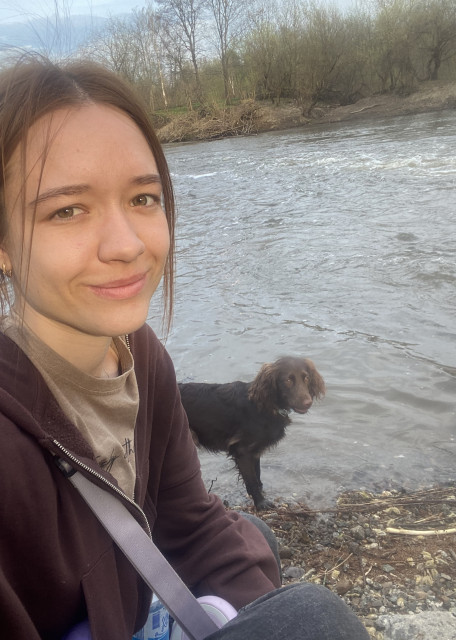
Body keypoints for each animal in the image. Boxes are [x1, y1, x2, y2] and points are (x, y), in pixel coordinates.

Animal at [178, 357, 325, 510]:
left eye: (306, 378)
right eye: (288, 380)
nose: (308, 402)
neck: (265, 406)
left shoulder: (255, 450)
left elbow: (257, 475)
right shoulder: (242, 451)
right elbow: (252, 480)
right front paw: (261, 503)